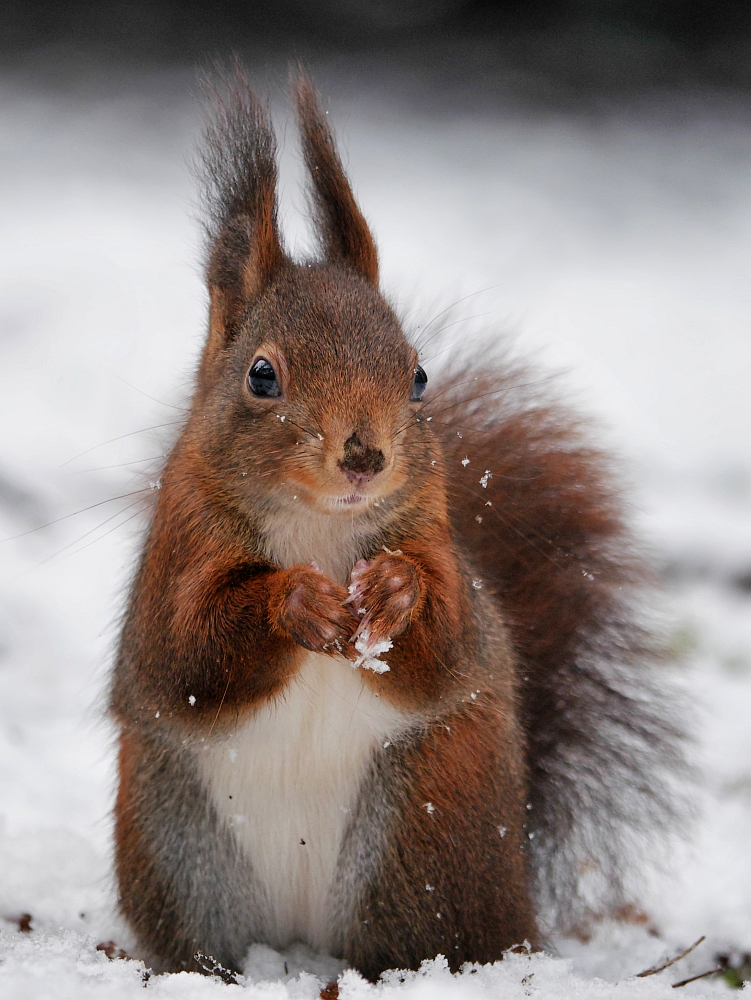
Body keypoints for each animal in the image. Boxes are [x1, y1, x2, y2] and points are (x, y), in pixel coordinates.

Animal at [108, 72, 684, 984]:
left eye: (416, 375)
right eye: (261, 375)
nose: (364, 455)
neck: (316, 526)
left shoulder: (436, 537)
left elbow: (447, 643)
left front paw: (394, 590)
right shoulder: (177, 553)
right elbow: (188, 652)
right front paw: (293, 602)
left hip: (424, 825)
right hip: (179, 845)